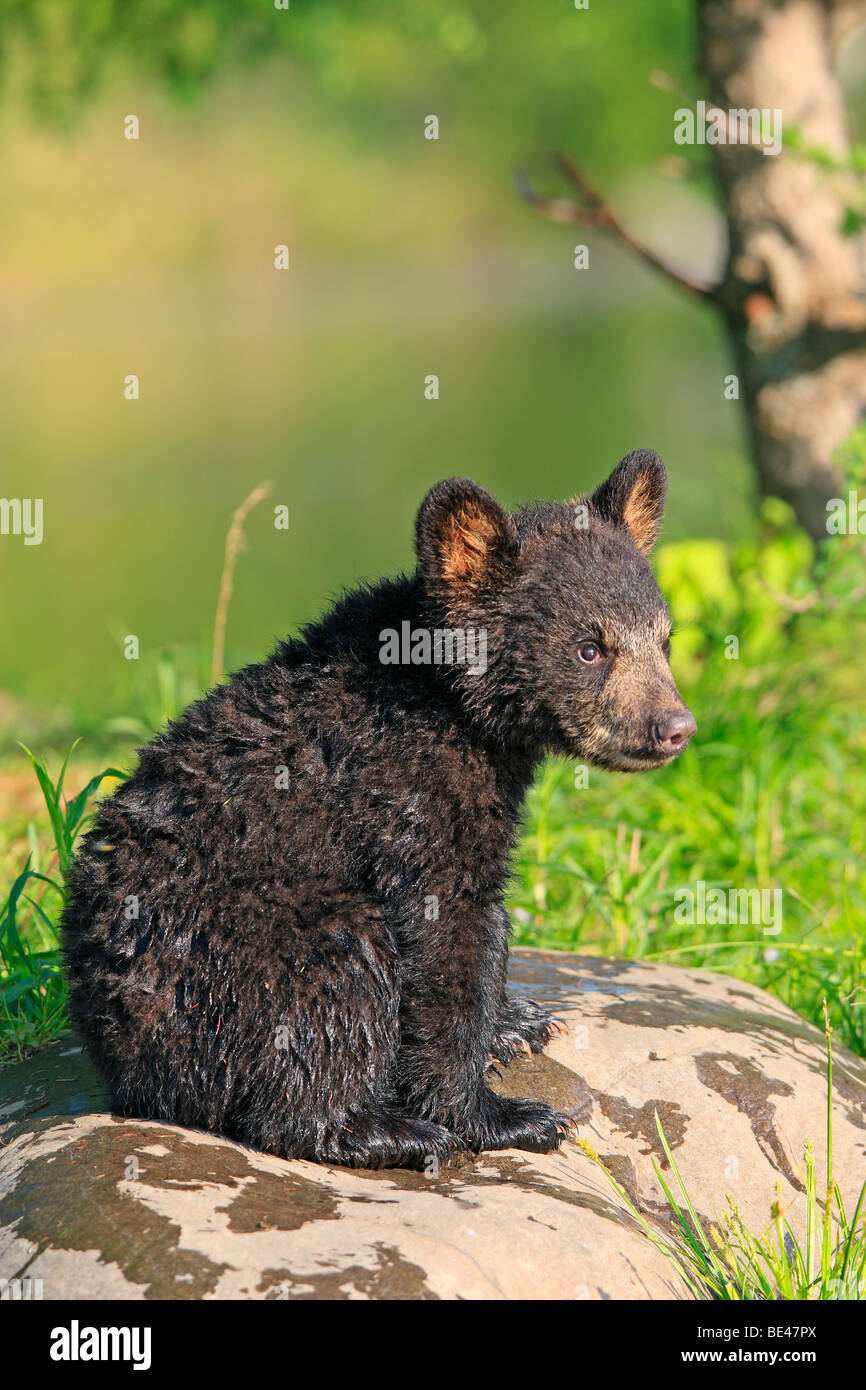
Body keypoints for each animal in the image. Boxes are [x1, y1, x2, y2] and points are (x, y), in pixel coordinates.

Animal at [62, 449, 696, 1169]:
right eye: (590, 648)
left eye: (663, 639)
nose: (674, 728)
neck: (451, 703)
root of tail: (114, 1048)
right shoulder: (406, 799)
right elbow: (445, 930)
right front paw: (498, 1114)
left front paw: (517, 1021)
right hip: (221, 963)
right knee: (330, 980)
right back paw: (381, 1130)